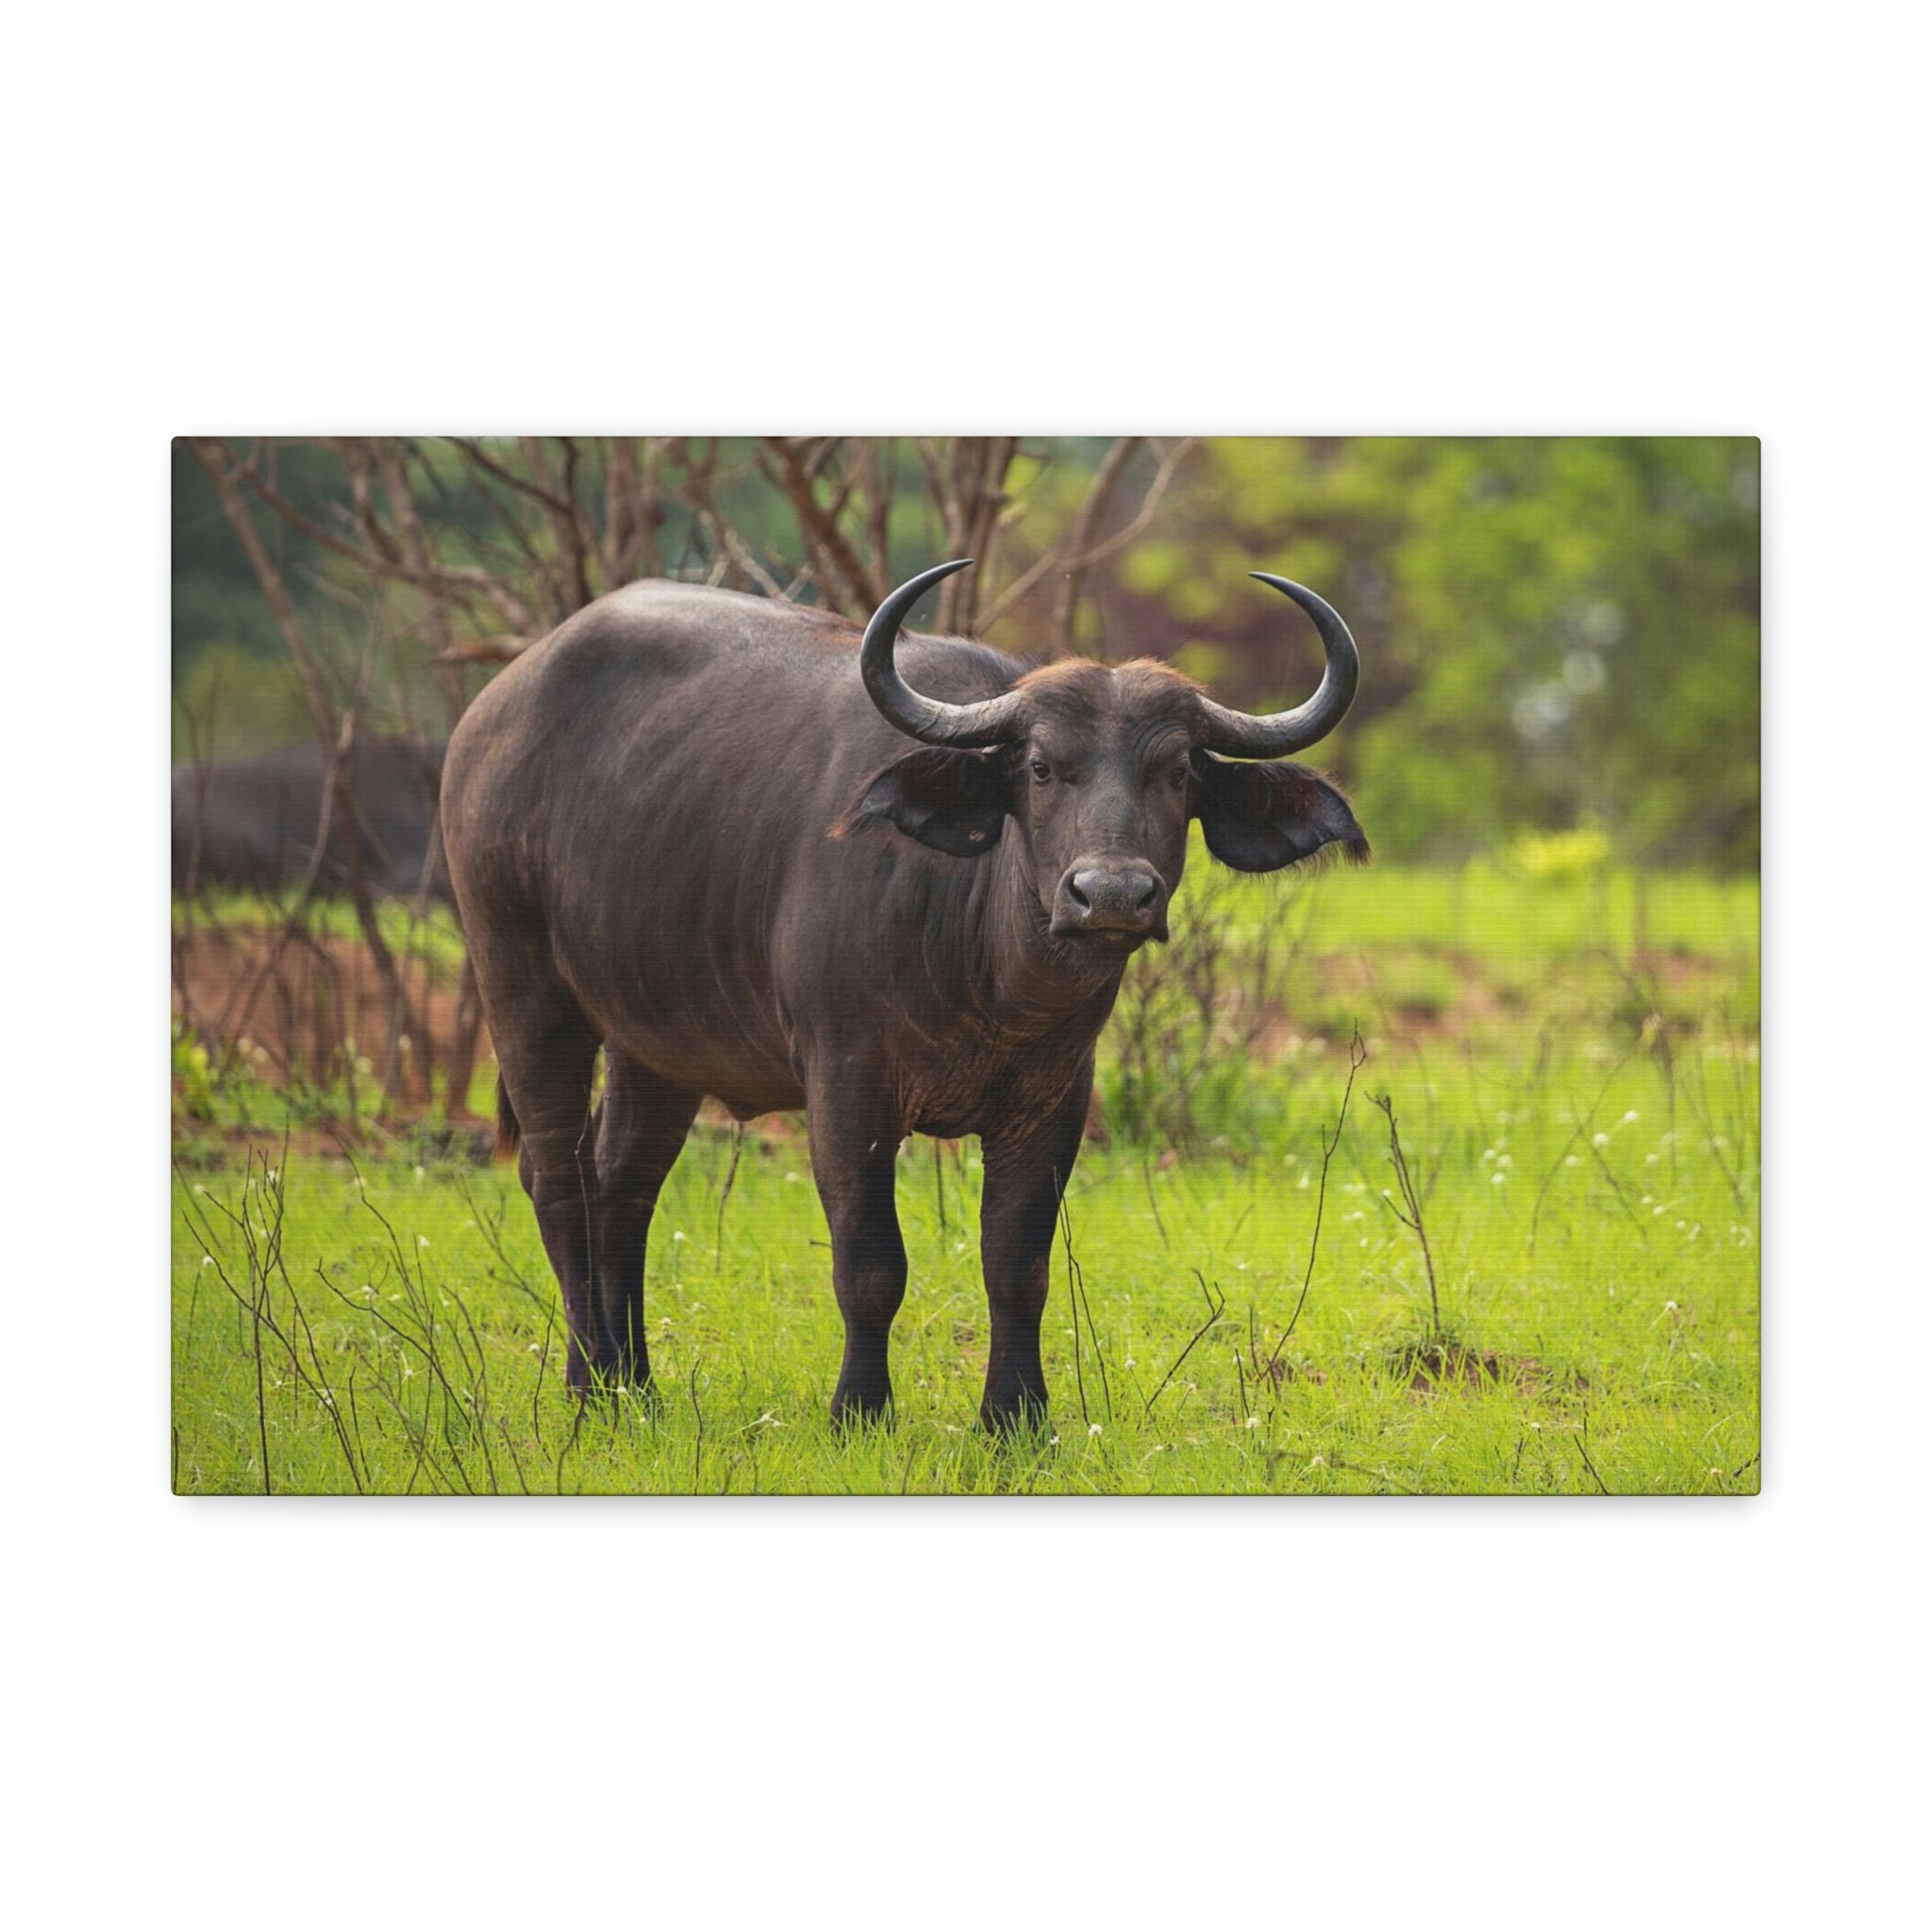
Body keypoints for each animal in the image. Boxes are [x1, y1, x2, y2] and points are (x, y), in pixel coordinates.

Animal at [440, 559, 1366, 1428]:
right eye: (1040, 768)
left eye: (1174, 773)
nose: (1109, 895)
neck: (988, 982)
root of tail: (487, 716)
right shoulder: (846, 1089)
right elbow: (870, 1265)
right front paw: (859, 1408)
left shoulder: (1055, 1101)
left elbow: (1018, 1265)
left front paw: (1015, 1418)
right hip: (523, 988)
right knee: (557, 1178)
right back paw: (591, 1384)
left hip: (656, 1043)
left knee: (622, 1183)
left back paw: (632, 1386)